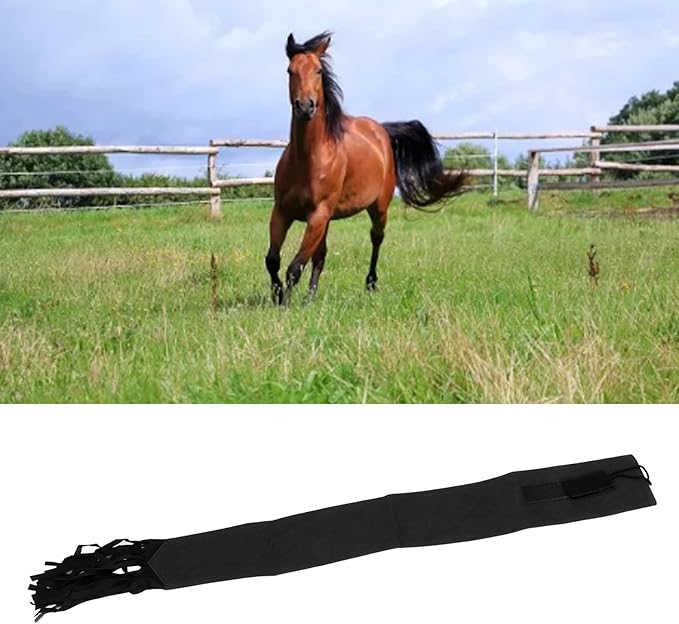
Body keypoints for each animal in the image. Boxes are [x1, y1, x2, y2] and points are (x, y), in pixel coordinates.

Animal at [265, 31, 467, 305]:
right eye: (290, 71)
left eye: (318, 70)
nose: (305, 106)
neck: (308, 158)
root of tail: (381, 130)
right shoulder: (283, 212)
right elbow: (273, 260)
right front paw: (278, 297)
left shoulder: (318, 215)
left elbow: (294, 267)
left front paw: (284, 305)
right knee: (321, 256)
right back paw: (310, 298)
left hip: (378, 207)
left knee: (376, 238)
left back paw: (370, 284)